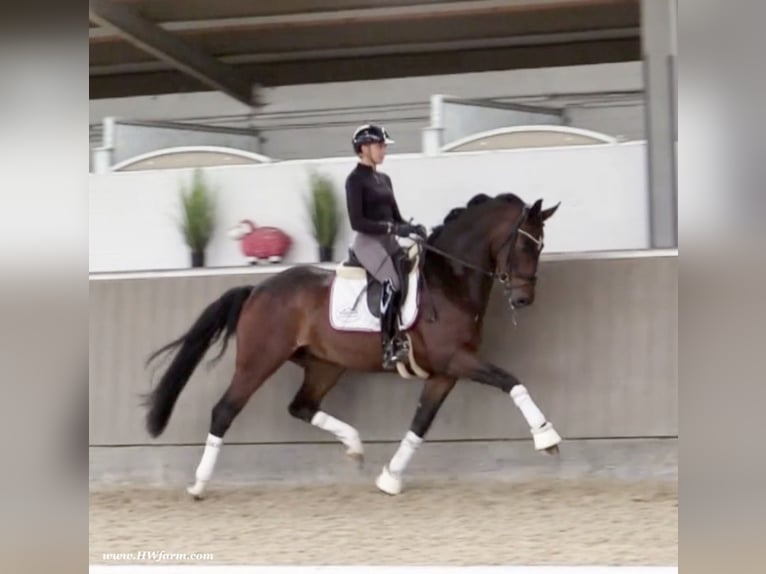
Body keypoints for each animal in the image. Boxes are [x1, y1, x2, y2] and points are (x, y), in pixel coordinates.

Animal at [146, 191, 564, 498]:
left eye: (541, 247)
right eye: (525, 247)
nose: (524, 299)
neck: (449, 280)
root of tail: (257, 290)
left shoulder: (444, 371)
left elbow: (421, 422)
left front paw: (390, 477)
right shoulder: (457, 359)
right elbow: (511, 381)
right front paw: (547, 437)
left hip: (325, 364)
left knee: (301, 406)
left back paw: (355, 445)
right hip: (259, 360)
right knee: (224, 411)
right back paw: (198, 485)